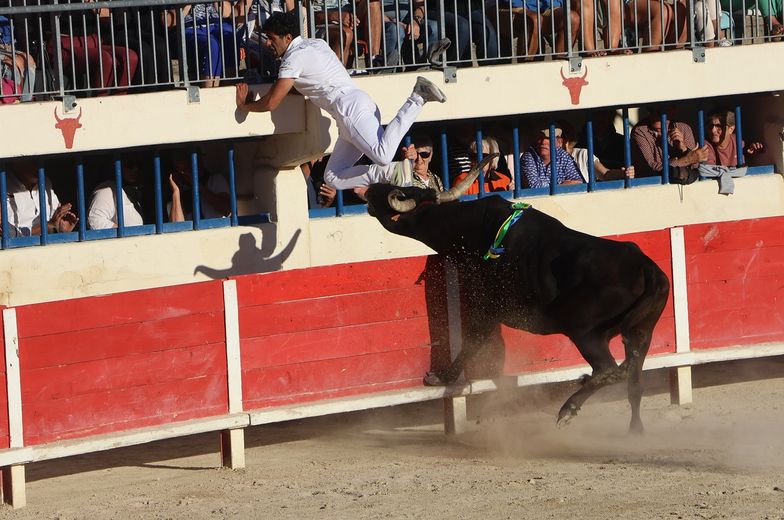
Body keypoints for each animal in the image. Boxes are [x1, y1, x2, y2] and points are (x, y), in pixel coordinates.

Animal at [366, 156, 668, 432]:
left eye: (400, 194)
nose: (370, 188)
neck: (472, 229)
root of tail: (645, 266)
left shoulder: (487, 308)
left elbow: (472, 341)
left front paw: (440, 377)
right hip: (642, 333)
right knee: (634, 381)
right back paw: (635, 430)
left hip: (587, 334)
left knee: (610, 370)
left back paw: (569, 408)